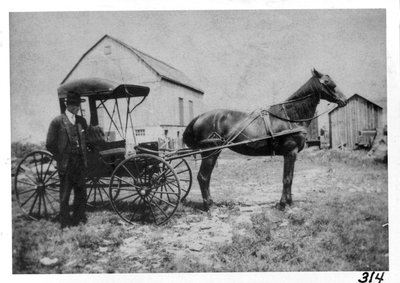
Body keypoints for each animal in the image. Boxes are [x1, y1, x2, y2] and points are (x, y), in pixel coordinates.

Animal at [182, 69, 346, 211]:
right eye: (328, 83)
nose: (343, 100)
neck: (290, 117)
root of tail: (199, 117)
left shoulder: (292, 155)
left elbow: (291, 178)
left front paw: (290, 202)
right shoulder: (290, 152)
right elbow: (286, 179)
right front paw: (282, 204)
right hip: (210, 153)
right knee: (203, 177)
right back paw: (209, 205)